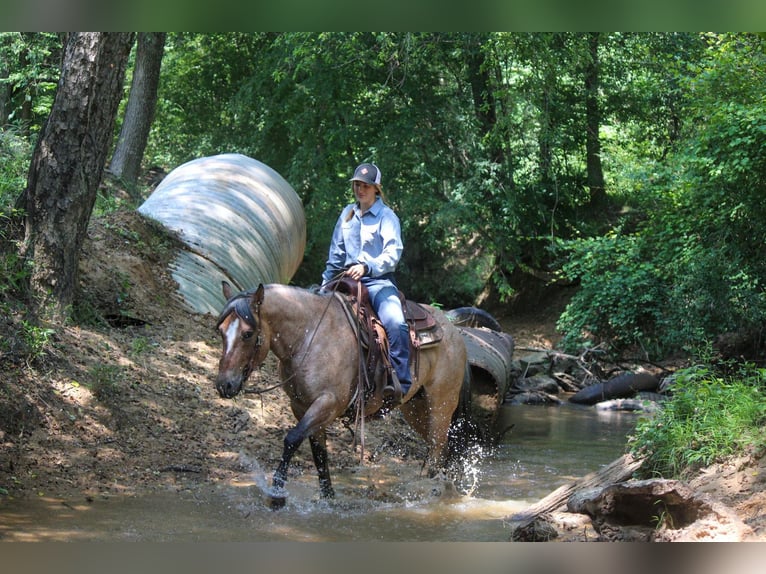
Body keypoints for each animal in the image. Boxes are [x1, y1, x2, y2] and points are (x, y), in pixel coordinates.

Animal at [214, 282, 468, 510]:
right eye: (221, 331)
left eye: (248, 334)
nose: (225, 385)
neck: (309, 337)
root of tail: (454, 331)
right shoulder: (301, 406)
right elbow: (319, 452)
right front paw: (328, 496)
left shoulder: (329, 402)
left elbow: (292, 439)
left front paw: (276, 495)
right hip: (417, 409)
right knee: (440, 447)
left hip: (441, 404)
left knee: (437, 448)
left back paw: (430, 493)